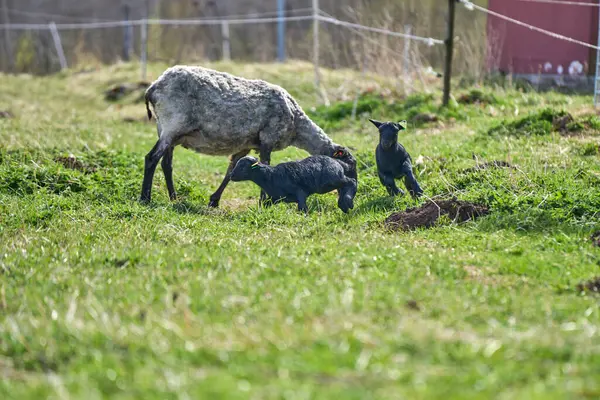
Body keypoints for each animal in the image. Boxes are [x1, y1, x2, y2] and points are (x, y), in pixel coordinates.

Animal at [142, 64, 346, 208]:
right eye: (348, 164)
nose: (344, 186)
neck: (297, 124)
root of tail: (153, 87)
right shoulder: (268, 137)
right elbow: (265, 166)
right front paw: (265, 203)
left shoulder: (246, 145)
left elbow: (231, 170)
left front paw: (214, 200)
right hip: (172, 125)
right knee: (151, 158)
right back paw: (145, 198)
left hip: (167, 130)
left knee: (166, 164)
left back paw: (173, 198)